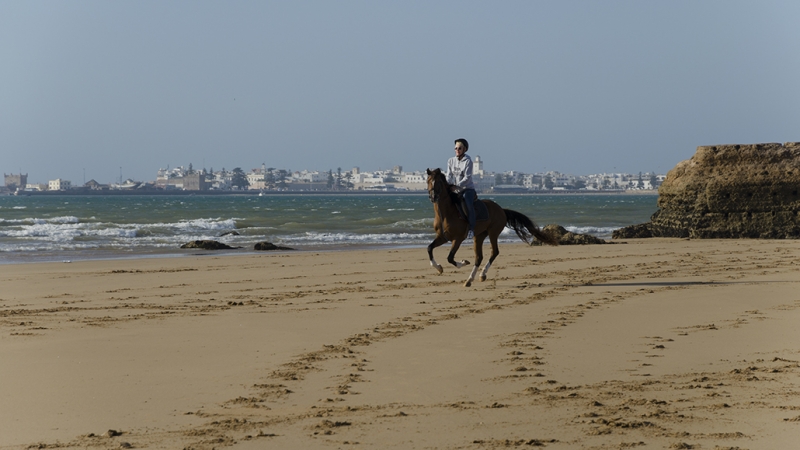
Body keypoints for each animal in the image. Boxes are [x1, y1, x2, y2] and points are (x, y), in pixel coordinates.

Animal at [424, 169, 556, 288]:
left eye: (438, 182)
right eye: (428, 181)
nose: (432, 196)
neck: (446, 213)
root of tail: (502, 210)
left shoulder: (458, 239)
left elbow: (450, 258)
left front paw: (463, 262)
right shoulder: (442, 237)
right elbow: (429, 248)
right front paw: (439, 268)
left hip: (493, 233)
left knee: (494, 252)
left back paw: (482, 275)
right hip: (479, 236)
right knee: (479, 257)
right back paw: (469, 280)